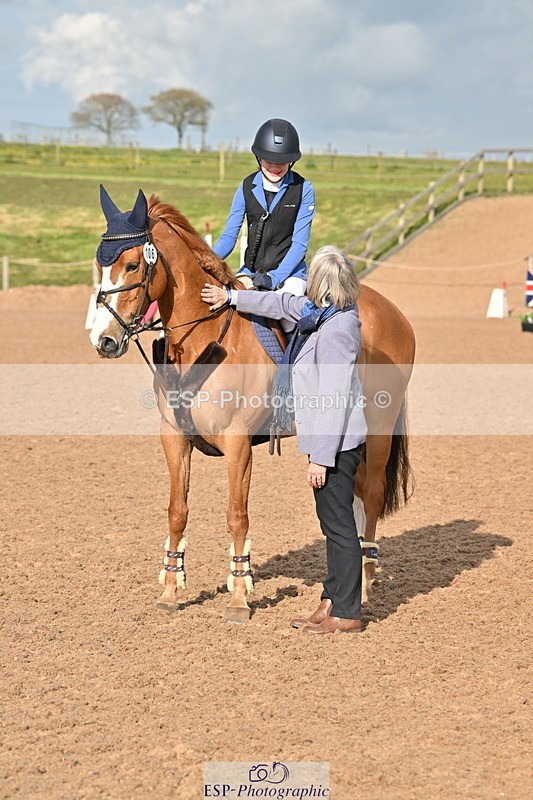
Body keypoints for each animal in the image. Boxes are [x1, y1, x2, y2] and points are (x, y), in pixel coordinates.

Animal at [89, 187, 415, 622]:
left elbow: (236, 516)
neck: (203, 336)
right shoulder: (174, 438)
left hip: (379, 428)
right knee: (358, 495)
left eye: (130, 264)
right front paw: (171, 588)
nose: (104, 340)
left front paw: (239, 596)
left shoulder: (239, 444)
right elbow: (177, 510)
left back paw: (363, 581)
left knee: (374, 494)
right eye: (100, 264)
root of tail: (395, 314)